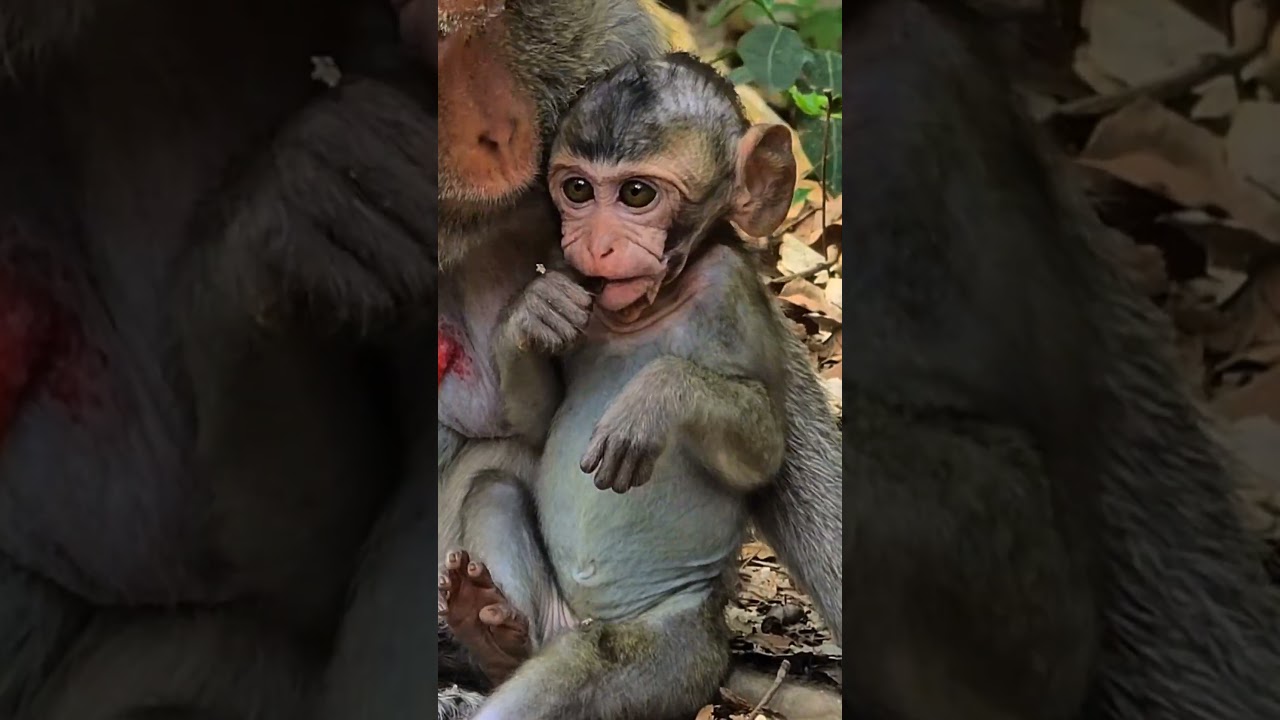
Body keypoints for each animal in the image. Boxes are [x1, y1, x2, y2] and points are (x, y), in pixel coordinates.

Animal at [434, 52, 841, 720]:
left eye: (636, 194)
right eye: (577, 189)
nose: (597, 245)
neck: (649, 309)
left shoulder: (732, 294)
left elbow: (764, 452)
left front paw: (658, 396)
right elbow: (538, 423)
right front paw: (532, 314)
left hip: (666, 654)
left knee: (571, 677)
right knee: (494, 490)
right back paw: (492, 629)